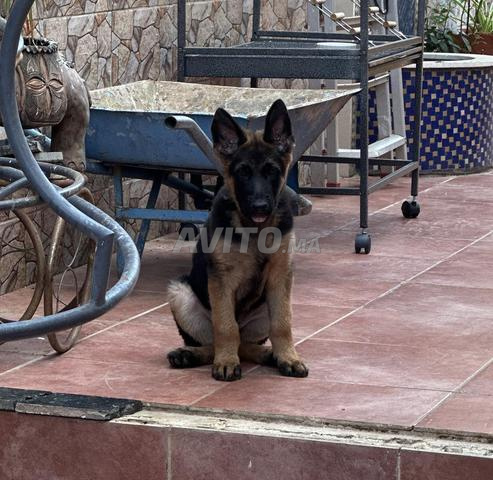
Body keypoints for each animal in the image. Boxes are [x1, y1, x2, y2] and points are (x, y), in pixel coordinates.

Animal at [167, 99, 308, 382]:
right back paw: (191, 354)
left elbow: (282, 324)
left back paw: (268, 354)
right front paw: (226, 362)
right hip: (180, 292)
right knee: (216, 341)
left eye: (272, 172)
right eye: (243, 173)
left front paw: (288, 357)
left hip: (265, 307)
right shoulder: (221, 280)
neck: (255, 230)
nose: (260, 206)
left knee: (246, 343)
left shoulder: (281, 276)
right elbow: (225, 326)